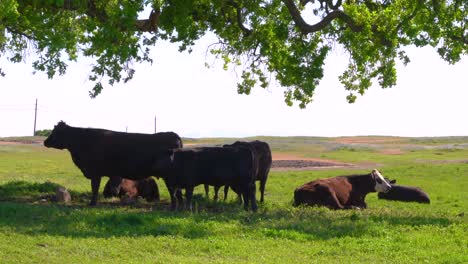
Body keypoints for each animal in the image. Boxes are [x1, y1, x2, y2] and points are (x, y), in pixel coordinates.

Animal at [43, 120, 183, 205]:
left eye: (55, 132)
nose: (45, 141)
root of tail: (174, 135)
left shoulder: (95, 173)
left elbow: (94, 188)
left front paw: (92, 203)